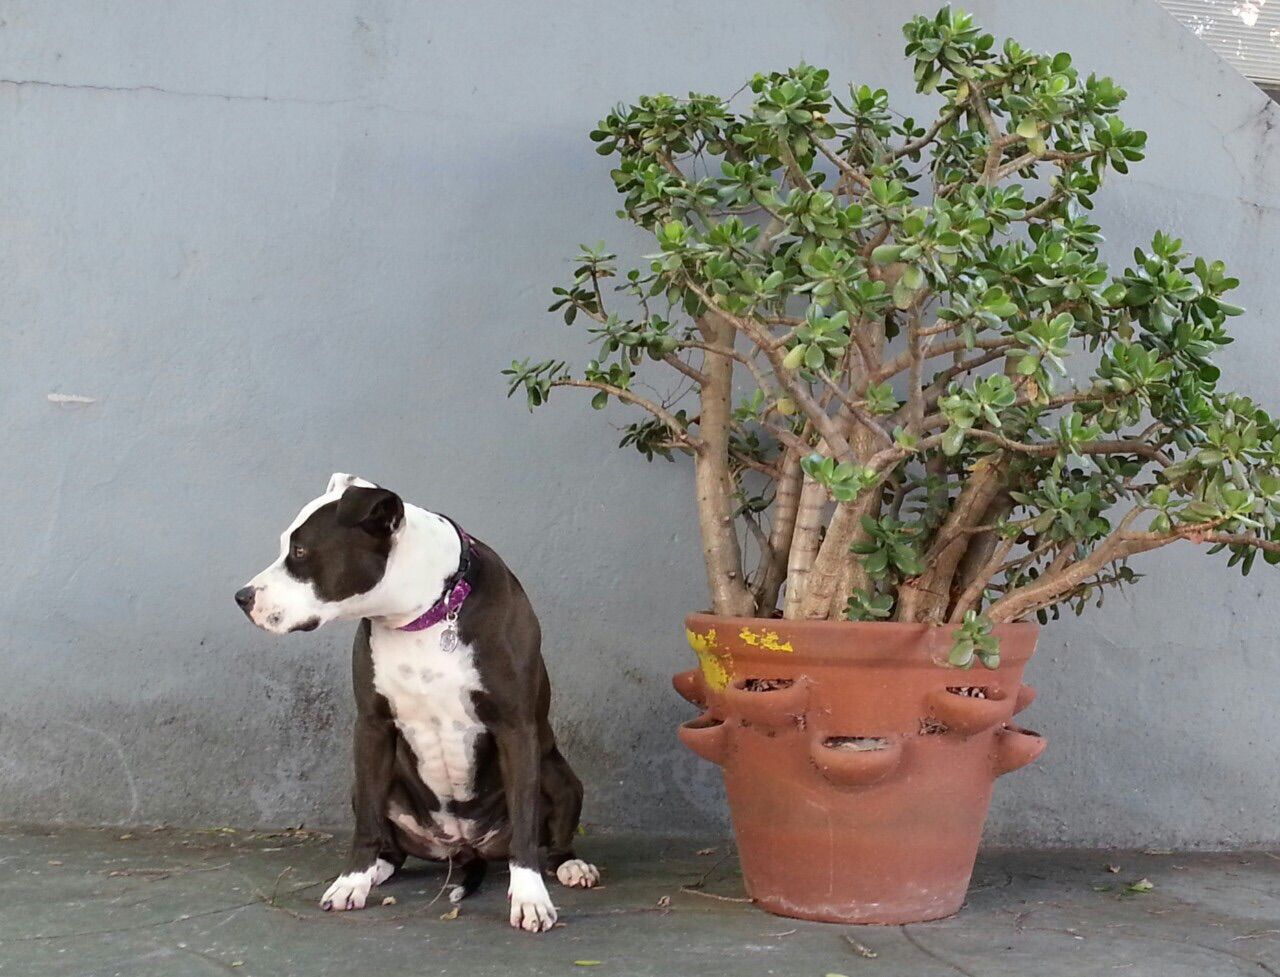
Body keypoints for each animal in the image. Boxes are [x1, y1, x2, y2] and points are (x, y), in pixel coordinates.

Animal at [235, 473, 593, 932]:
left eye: (299, 551)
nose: (242, 597)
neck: (424, 614)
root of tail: (465, 848)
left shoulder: (515, 728)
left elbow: (527, 821)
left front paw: (530, 898)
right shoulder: (372, 726)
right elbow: (366, 823)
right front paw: (351, 882)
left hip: (560, 775)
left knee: (552, 835)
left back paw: (570, 865)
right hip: (375, 782)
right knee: (389, 841)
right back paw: (377, 869)